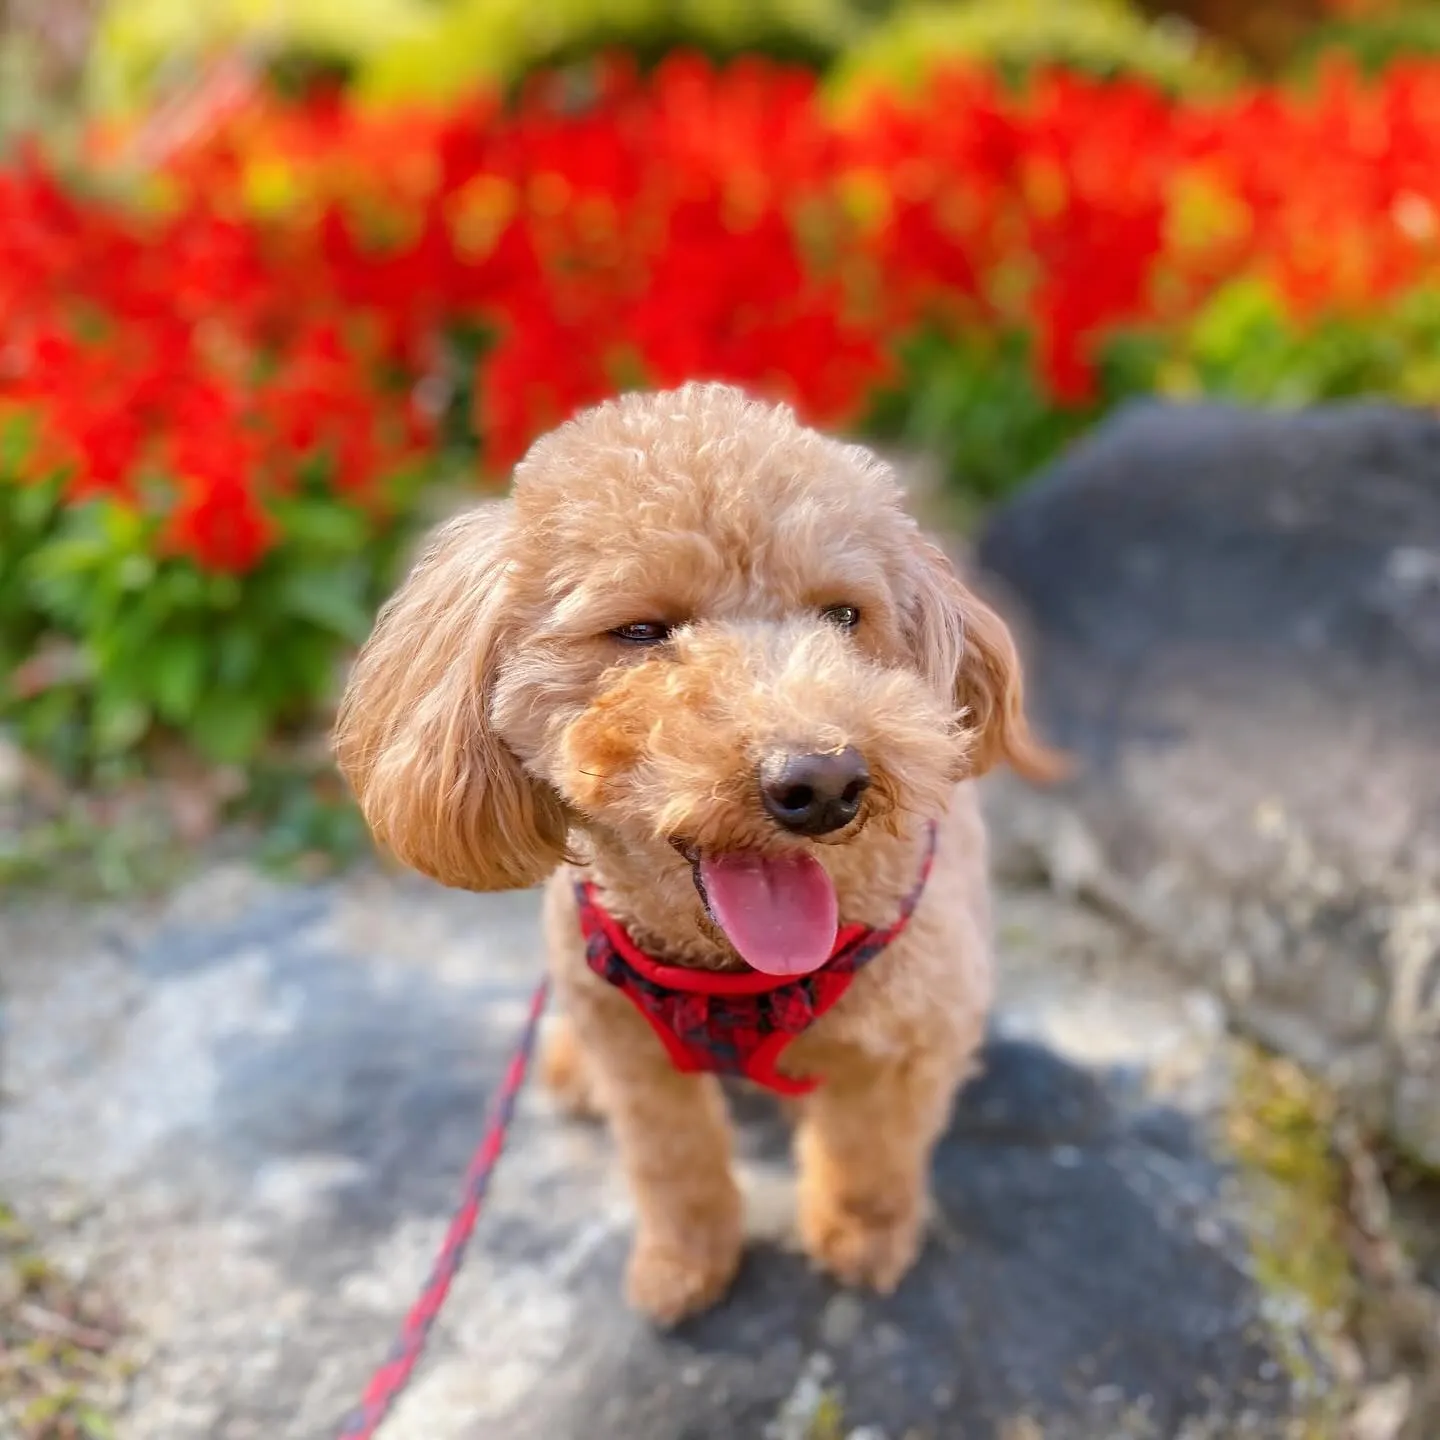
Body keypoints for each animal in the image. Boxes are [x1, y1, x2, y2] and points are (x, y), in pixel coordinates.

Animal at [336, 380, 1059, 1324]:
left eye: (843, 615)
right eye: (642, 632)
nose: (823, 782)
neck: (730, 977)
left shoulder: (911, 1037)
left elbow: (870, 1152)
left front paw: (859, 1238)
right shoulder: (636, 1055)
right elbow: (674, 1166)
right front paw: (685, 1266)